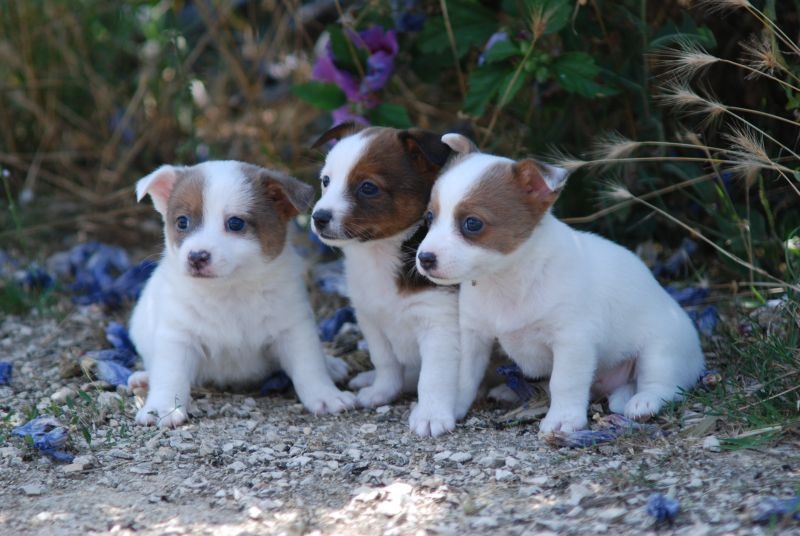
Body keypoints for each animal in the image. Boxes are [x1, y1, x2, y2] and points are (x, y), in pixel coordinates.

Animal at [127, 159, 354, 428]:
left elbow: (309, 367)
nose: (196, 257)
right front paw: (162, 408)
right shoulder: (177, 336)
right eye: (182, 222)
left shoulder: (294, 330)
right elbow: (170, 375)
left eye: (235, 223)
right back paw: (144, 378)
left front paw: (326, 395)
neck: (230, 290)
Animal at [310, 123, 460, 438]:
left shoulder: (440, 327)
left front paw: (431, 415)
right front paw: (381, 391)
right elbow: (386, 361)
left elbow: (433, 377)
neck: (378, 253)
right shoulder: (371, 320)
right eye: (326, 180)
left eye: (368, 187)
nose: (318, 217)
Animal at [416, 135, 704, 436]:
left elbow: (565, 382)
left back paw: (644, 401)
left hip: (660, 349)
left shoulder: (572, 340)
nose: (425, 258)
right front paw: (441, 410)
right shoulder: (473, 336)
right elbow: (461, 378)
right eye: (429, 217)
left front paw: (563, 418)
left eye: (472, 223)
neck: (505, 280)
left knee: (663, 384)